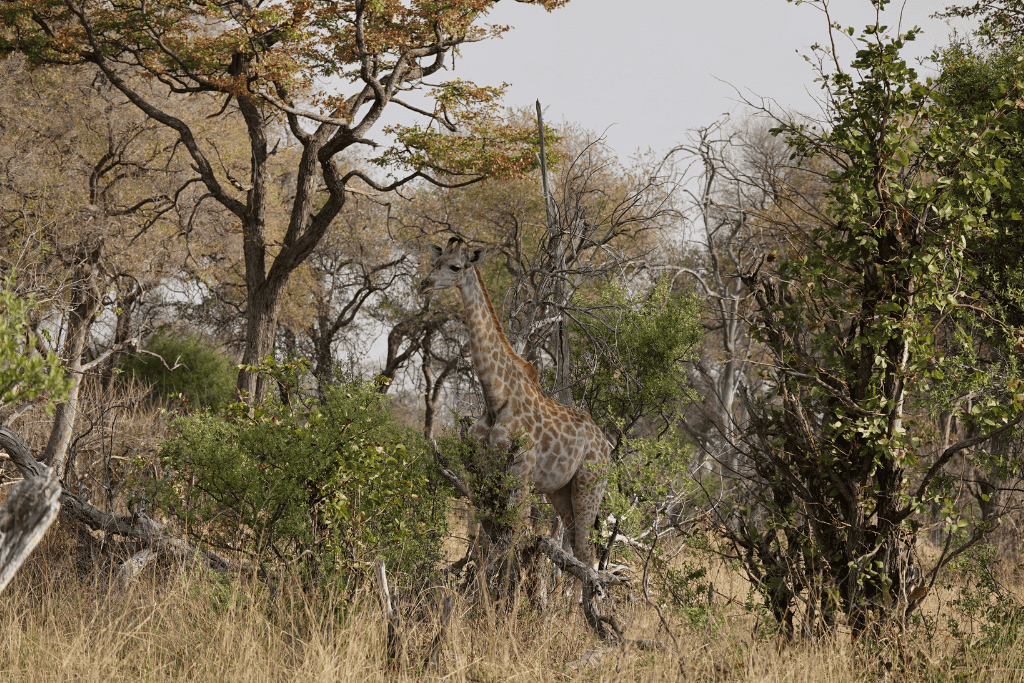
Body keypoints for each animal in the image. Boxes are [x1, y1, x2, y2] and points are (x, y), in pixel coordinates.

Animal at [418, 237, 610, 568]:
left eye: (454, 267)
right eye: (434, 262)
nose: (424, 285)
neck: (495, 396)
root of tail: (608, 448)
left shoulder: (520, 472)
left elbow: (510, 542)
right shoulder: (483, 468)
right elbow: (487, 538)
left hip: (590, 485)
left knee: (586, 552)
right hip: (560, 490)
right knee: (576, 546)